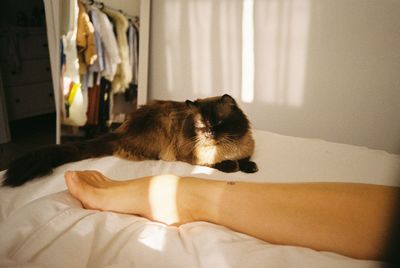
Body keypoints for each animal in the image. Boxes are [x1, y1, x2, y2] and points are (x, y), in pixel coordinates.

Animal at [3, 94, 258, 186]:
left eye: (219, 123)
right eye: (201, 126)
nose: (209, 134)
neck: (226, 148)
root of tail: (120, 130)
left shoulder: (245, 149)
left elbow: (247, 159)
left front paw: (249, 168)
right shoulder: (194, 157)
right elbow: (218, 164)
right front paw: (231, 166)